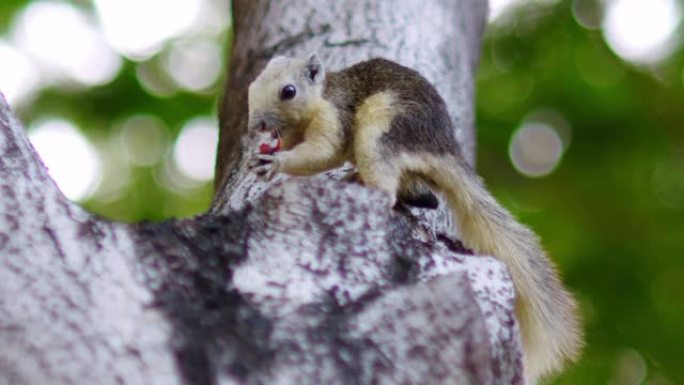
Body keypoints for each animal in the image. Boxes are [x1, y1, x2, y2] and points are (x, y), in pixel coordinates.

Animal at [246, 52, 584, 382]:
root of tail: (443, 149)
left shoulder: (334, 115)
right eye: (251, 87)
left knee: (387, 184)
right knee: (426, 197)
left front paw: (277, 162)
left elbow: (323, 152)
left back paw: (362, 185)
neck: (318, 99)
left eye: (289, 91)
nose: (257, 125)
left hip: (382, 129)